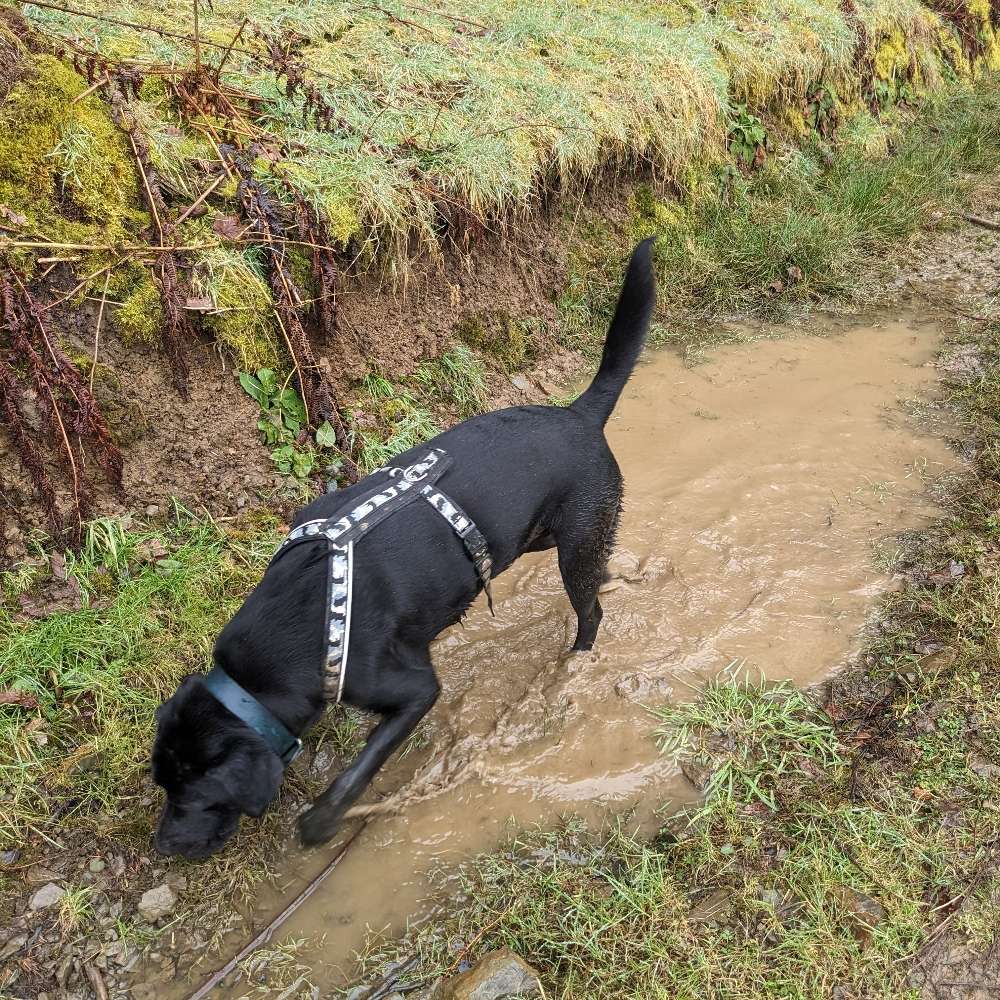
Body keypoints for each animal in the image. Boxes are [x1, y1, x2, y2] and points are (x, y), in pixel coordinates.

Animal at [152, 238, 656, 856]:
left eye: (197, 797)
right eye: (163, 784)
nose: (163, 846)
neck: (303, 619)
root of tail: (578, 413)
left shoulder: (412, 688)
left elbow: (359, 768)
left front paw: (322, 822)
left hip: (573, 549)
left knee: (591, 612)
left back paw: (577, 659)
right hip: (548, 539)